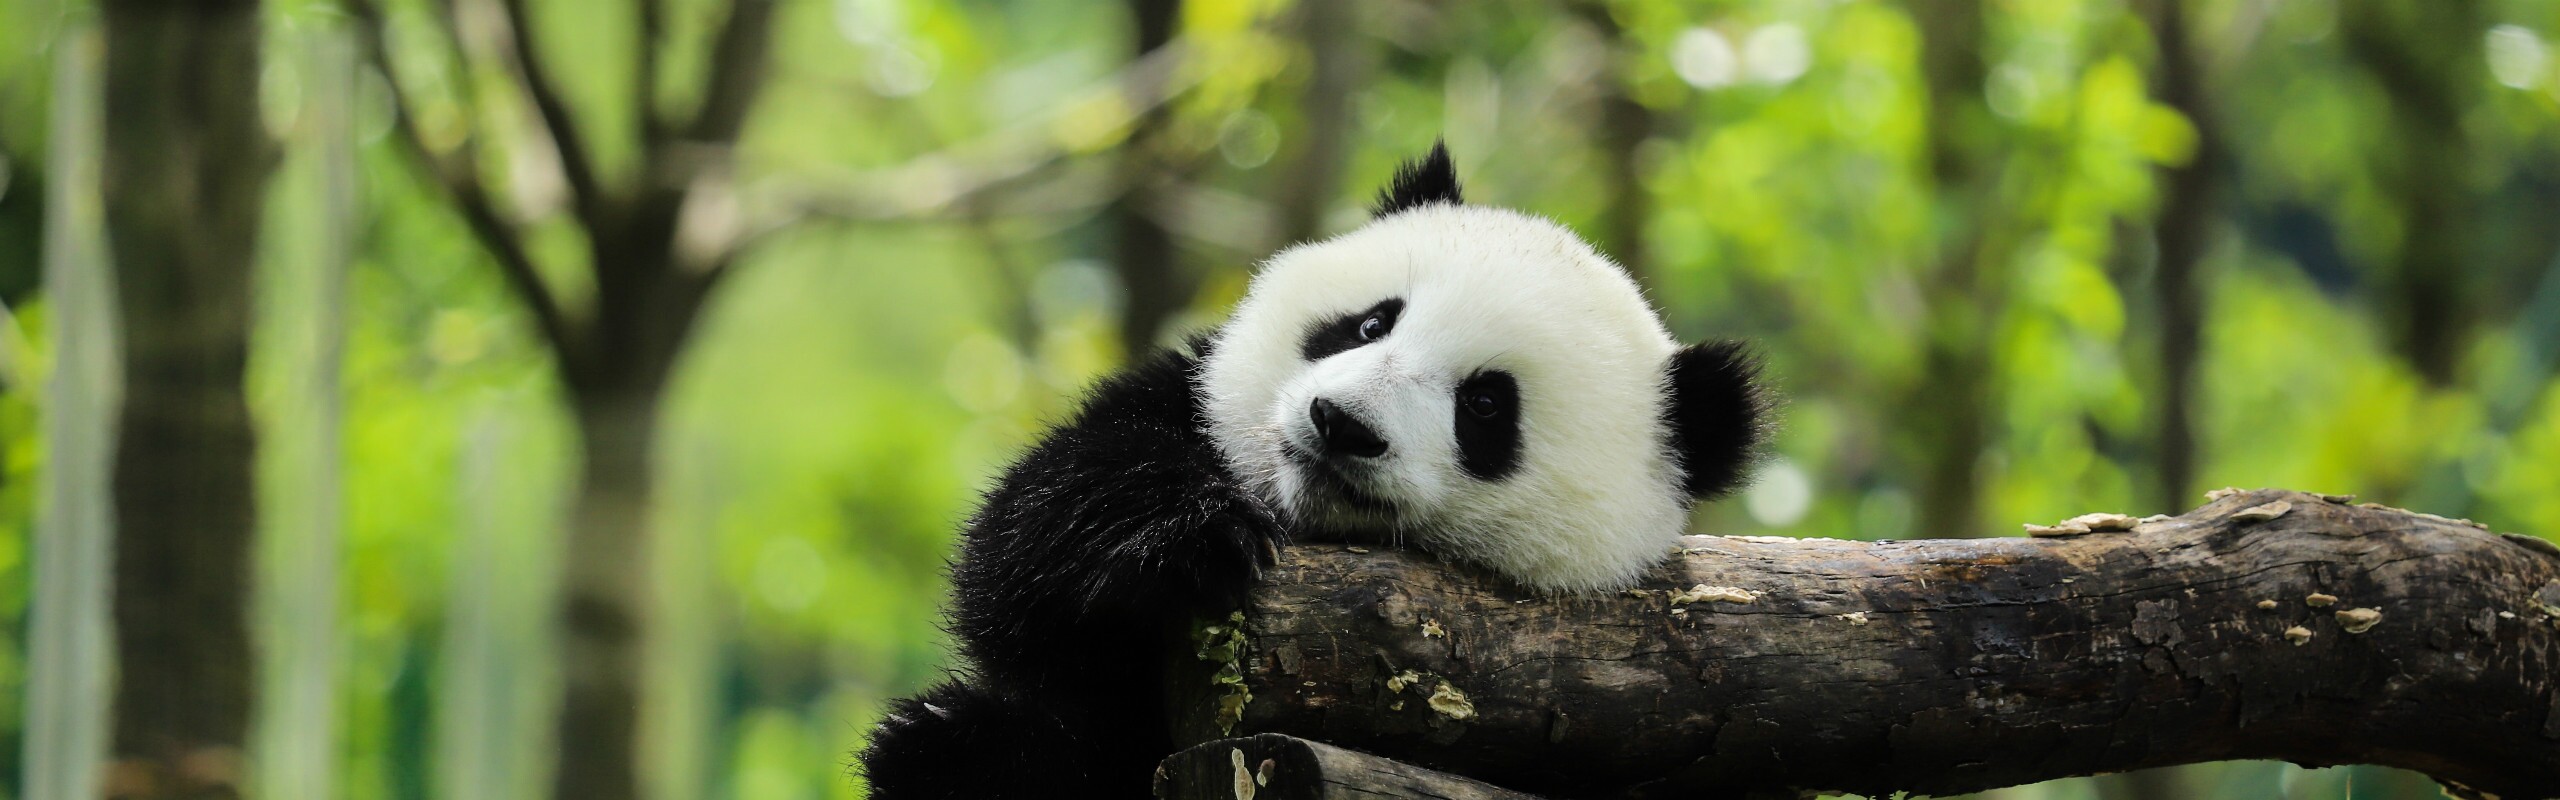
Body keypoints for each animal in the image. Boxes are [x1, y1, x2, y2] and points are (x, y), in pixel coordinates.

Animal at [857, 144, 1767, 798]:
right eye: (1370, 323)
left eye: (1484, 406)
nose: (1342, 424)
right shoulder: (1188, 407)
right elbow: (1027, 547)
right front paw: (1193, 538)